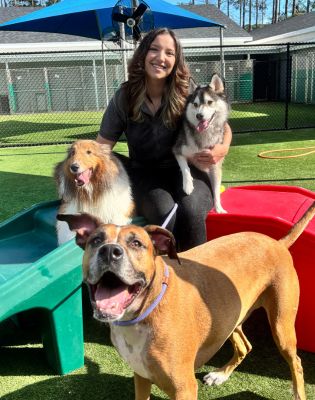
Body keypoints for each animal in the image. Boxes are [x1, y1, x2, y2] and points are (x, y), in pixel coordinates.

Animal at [57, 203, 315, 400]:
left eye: (136, 243)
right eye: (96, 240)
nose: (109, 251)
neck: (142, 313)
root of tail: (277, 242)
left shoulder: (184, 389)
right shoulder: (141, 377)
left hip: (282, 326)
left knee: (296, 361)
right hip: (230, 317)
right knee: (245, 345)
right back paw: (220, 374)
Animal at [174, 73, 231, 214]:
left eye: (209, 102)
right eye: (195, 104)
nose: (199, 115)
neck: (204, 133)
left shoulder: (215, 165)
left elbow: (216, 190)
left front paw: (219, 208)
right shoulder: (177, 150)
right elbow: (185, 167)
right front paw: (188, 185)